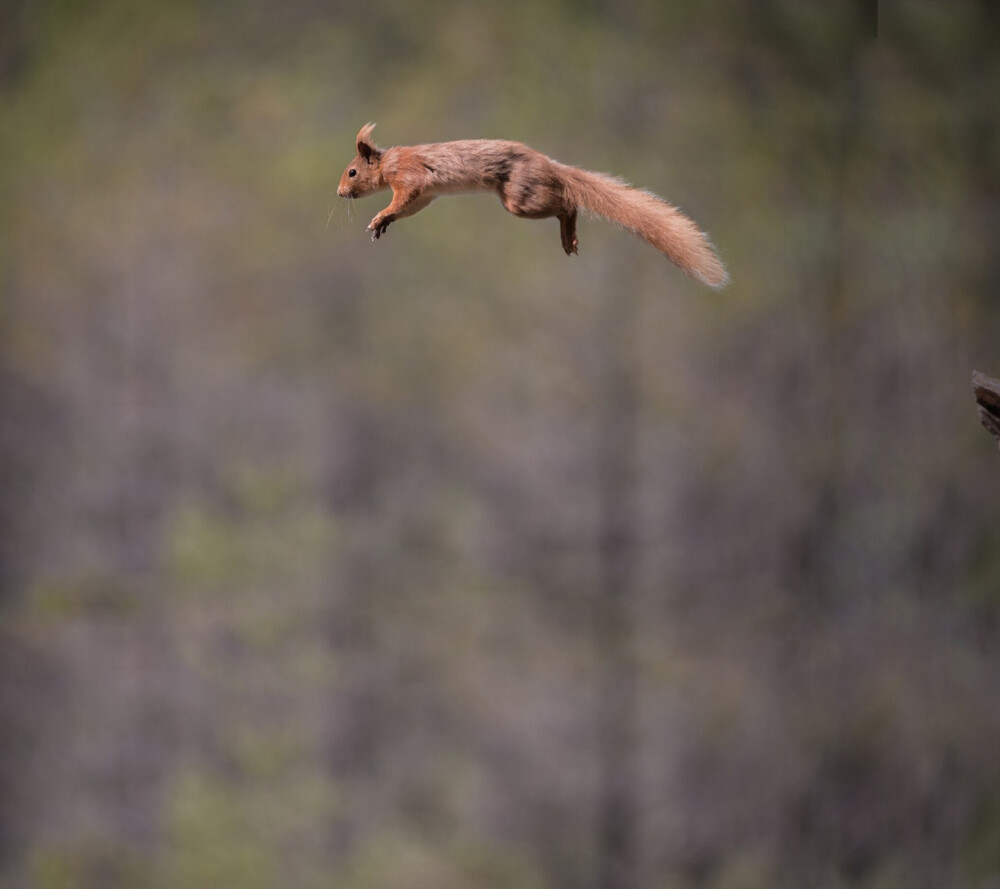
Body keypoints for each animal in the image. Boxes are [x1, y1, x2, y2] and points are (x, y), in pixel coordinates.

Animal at [336, 124, 728, 288]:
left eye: (352, 171)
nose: (339, 192)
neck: (388, 163)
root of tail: (550, 165)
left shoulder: (411, 178)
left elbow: (402, 198)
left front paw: (380, 215)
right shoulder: (427, 195)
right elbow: (410, 208)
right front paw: (384, 223)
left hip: (520, 198)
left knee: (567, 201)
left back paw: (569, 233)